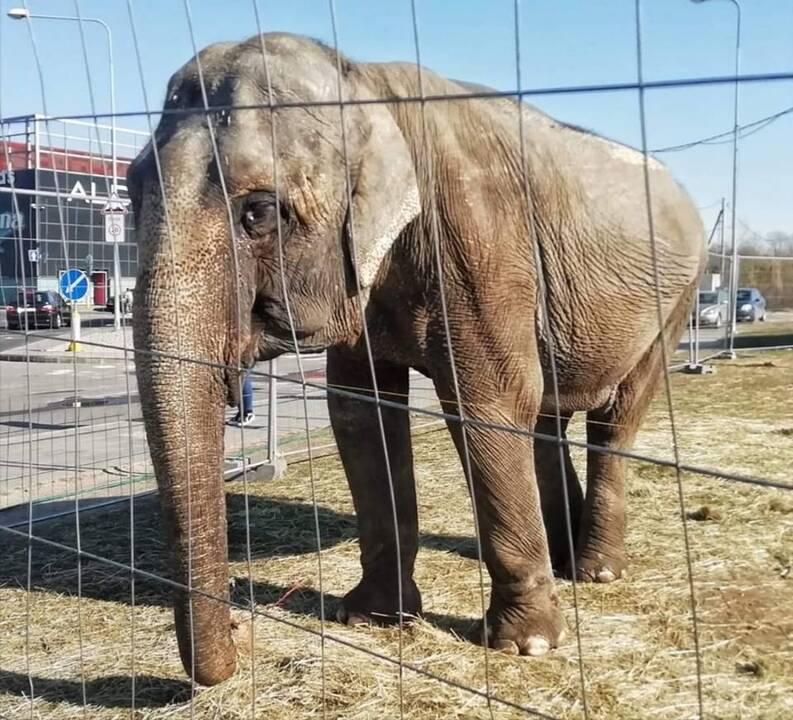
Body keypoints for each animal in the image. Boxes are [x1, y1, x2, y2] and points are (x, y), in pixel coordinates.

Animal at [130, 33, 704, 688]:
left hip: (675, 303)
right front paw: (372, 617)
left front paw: (525, 646)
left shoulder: (481, 241)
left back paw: (595, 572)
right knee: (547, 417)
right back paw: (563, 560)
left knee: (614, 418)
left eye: (259, 212)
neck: (363, 82)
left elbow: (489, 403)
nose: (241, 628)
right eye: (129, 193)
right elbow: (361, 414)